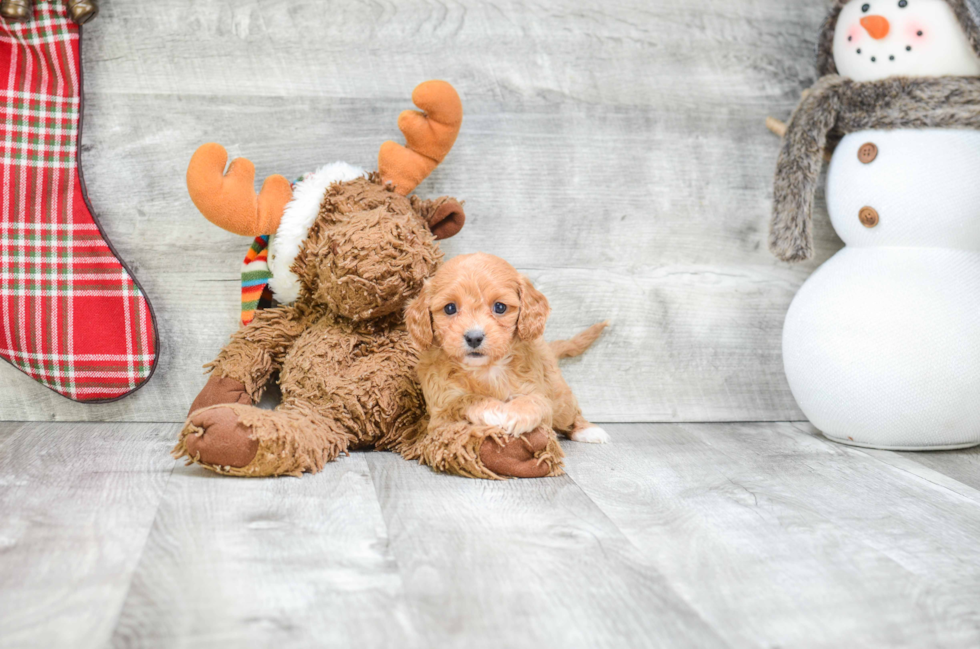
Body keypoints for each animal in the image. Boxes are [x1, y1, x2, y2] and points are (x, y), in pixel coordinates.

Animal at [404, 253, 604, 476]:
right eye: (450, 308)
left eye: (500, 307)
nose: (474, 337)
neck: (486, 369)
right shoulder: (440, 411)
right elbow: (465, 400)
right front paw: (495, 410)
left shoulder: (537, 390)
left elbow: (535, 401)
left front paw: (516, 413)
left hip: (560, 398)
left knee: (570, 414)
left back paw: (588, 430)